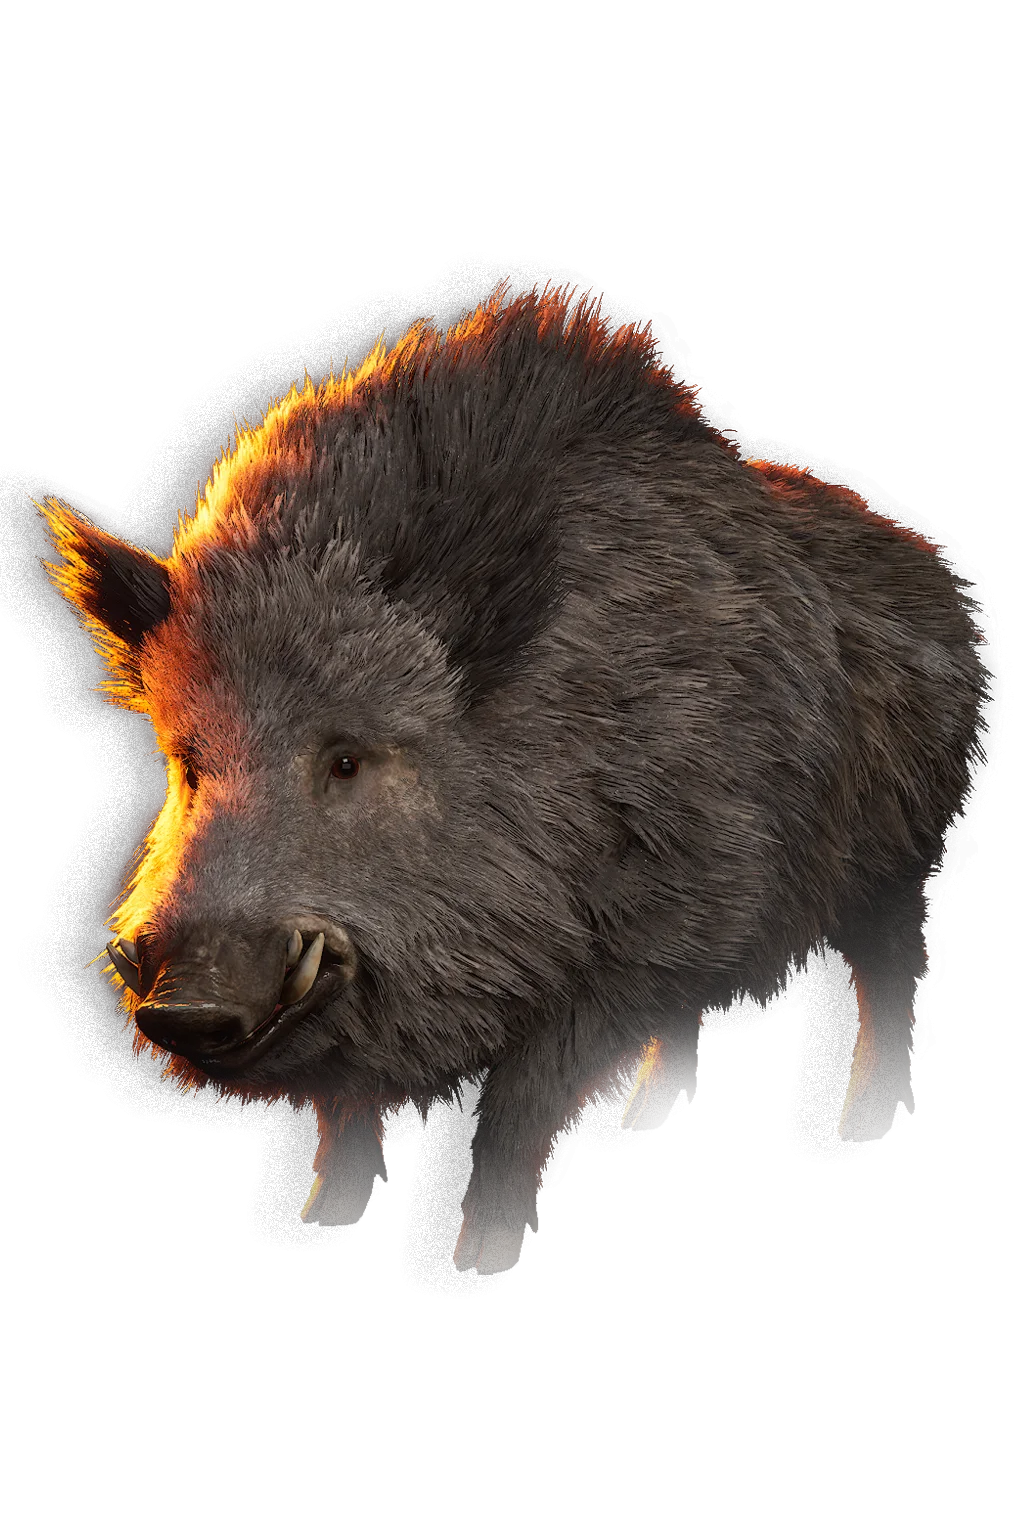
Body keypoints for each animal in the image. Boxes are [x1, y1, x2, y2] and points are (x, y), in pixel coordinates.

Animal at [35, 278, 990, 1273]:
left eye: (347, 758)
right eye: (187, 765)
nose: (187, 1006)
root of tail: (937, 582)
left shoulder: (642, 930)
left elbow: (522, 1097)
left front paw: (485, 1252)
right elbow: (344, 1105)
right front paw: (326, 1217)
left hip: (904, 854)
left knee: (889, 974)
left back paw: (862, 1125)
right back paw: (648, 1121)